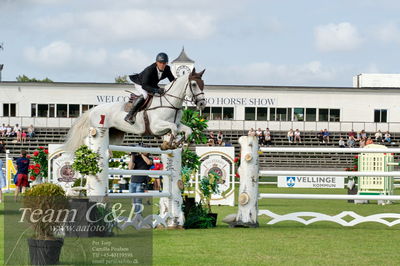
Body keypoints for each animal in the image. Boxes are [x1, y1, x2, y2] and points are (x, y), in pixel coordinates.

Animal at [63, 68, 206, 152]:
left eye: (203, 84)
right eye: (194, 84)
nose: (202, 103)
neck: (169, 102)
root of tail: (93, 110)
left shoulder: (176, 123)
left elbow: (187, 130)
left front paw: (177, 144)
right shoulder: (156, 126)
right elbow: (174, 129)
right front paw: (168, 145)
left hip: (115, 134)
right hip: (98, 130)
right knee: (87, 142)